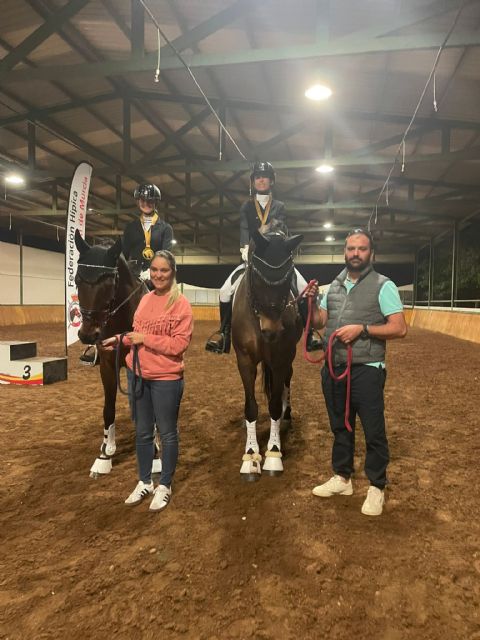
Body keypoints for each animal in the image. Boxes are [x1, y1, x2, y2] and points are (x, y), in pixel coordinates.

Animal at [73, 232, 147, 478]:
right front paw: (105, 455)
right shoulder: (106, 366)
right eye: (77, 279)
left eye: (109, 282)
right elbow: (108, 409)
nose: (87, 335)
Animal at [231, 225, 302, 480]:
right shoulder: (245, 360)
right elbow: (251, 407)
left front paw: (273, 453)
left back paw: (286, 415)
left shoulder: (281, 359)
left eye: (288, 278)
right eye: (256, 277)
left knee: (286, 385)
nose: (272, 331)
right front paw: (251, 456)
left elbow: (273, 405)